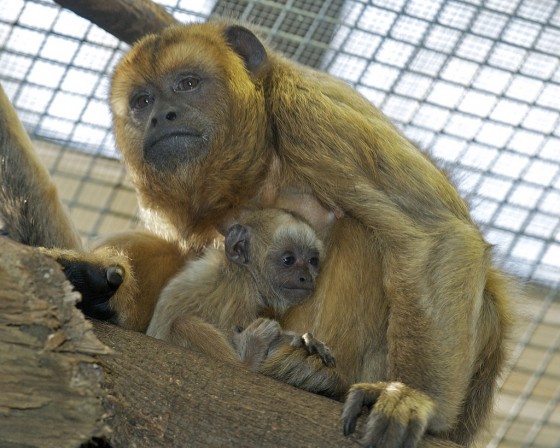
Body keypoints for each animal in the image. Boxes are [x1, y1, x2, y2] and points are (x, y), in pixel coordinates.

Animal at [0, 22, 510, 448]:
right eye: (142, 101)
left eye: (188, 83)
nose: (163, 116)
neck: (256, 169)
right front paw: (94, 283)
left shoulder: (310, 112)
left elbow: (431, 233)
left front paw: (411, 398)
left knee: (365, 232)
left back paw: (306, 373)